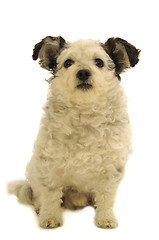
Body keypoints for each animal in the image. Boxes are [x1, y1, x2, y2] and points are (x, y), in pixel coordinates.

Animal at [7, 35, 140, 229]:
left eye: (99, 62)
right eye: (68, 63)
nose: (83, 72)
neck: (84, 112)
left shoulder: (111, 168)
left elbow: (106, 197)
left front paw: (105, 218)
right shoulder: (49, 165)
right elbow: (50, 195)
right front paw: (50, 217)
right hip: (33, 171)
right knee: (38, 194)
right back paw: (40, 207)